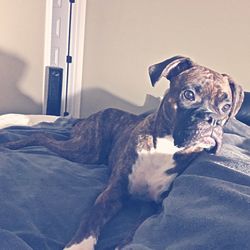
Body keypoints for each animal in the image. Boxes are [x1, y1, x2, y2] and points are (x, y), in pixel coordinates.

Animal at [1, 55, 244, 249]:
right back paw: (12, 143)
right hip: (85, 151)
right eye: (189, 94)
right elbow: (91, 220)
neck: (165, 149)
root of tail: (89, 117)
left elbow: (134, 232)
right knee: (42, 136)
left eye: (226, 107)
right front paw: (78, 246)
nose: (213, 119)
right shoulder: (113, 193)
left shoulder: (152, 207)